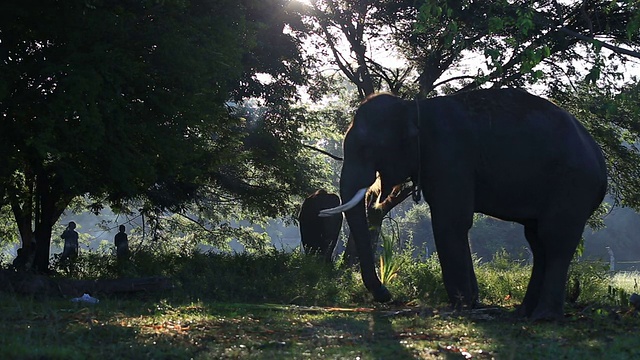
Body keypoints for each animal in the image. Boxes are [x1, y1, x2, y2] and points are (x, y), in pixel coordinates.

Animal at [322, 88, 608, 320]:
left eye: (367, 148)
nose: (386, 294)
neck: (413, 107)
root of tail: (598, 157)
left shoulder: (449, 156)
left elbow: (450, 221)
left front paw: (460, 306)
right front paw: (473, 302)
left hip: (572, 185)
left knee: (555, 239)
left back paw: (544, 316)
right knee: (538, 242)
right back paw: (523, 313)